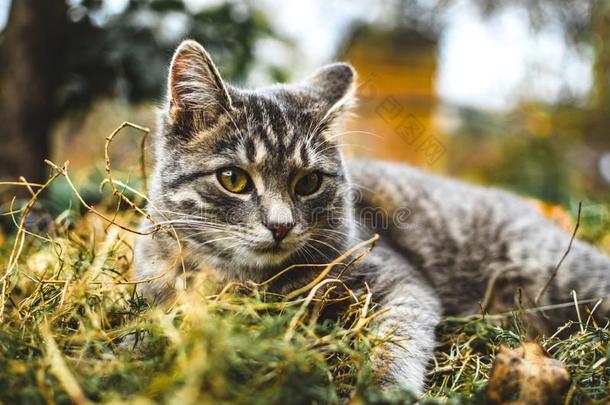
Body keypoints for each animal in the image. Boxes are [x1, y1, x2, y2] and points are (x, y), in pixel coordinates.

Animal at [135, 39, 608, 392]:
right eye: (233, 179)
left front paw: (386, 388)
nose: (280, 225)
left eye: (308, 183)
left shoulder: (402, 282)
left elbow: (396, 341)